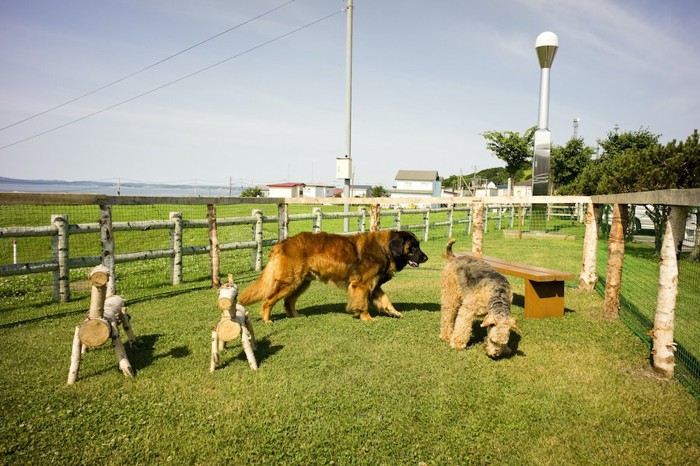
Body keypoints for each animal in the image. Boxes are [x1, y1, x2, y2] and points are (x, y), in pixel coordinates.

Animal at [239, 230, 426, 324]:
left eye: (418, 246)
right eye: (413, 247)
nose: (426, 258)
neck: (384, 247)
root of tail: (281, 244)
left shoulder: (374, 285)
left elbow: (386, 299)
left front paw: (394, 312)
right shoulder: (362, 284)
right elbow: (363, 303)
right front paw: (366, 318)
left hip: (301, 283)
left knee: (288, 301)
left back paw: (296, 316)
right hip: (290, 282)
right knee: (268, 300)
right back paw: (267, 319)